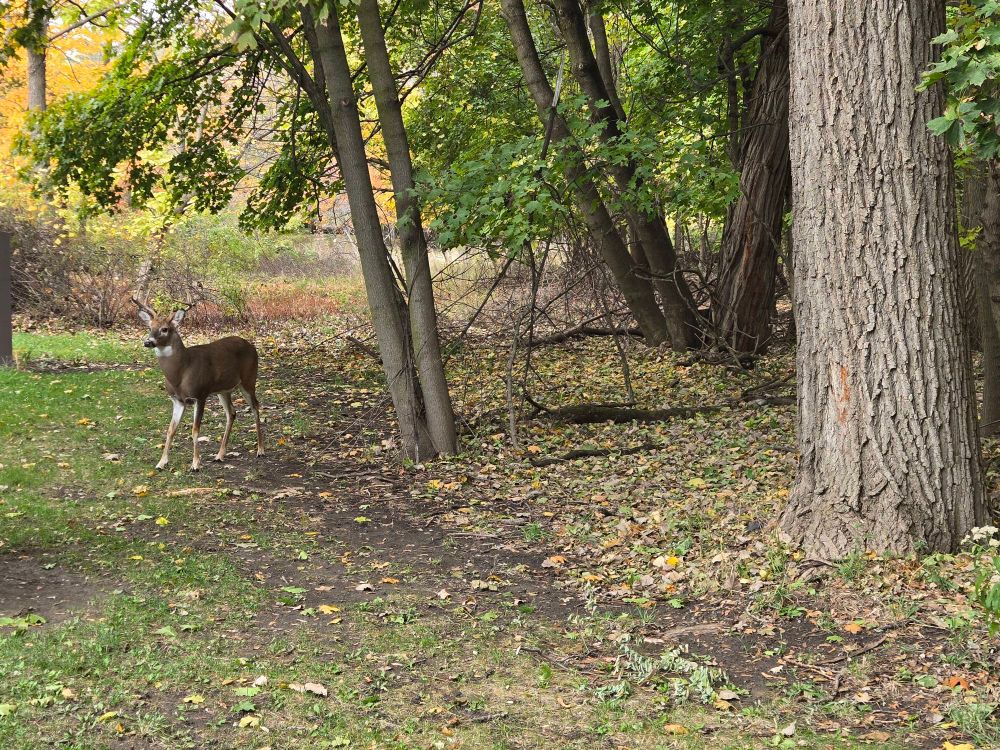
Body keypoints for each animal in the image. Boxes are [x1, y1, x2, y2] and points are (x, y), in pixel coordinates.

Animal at [133, 298, 264, 471]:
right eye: (149, 327)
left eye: (165, 329)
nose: (148, 342)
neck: (180, 372)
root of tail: (251, 345)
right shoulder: (177, 400)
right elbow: (170, 430)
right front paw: (161, 463)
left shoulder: (200, 394)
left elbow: (195, 430)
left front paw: (195, 464)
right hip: (223, 390)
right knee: (231, 413)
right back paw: (219, 455)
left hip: (249, 379)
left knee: (255, 406)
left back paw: (260, 450)